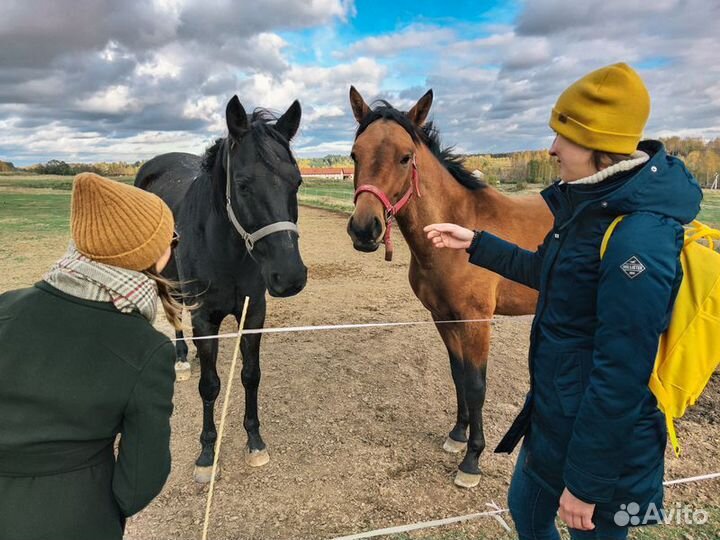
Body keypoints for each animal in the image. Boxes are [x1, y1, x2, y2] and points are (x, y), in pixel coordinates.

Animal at [135, 95, 306, 484]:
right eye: (242, 184)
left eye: (297, 182)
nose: (290, 276)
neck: (226, 250)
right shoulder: (205, 316)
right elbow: (210, 386)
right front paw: (206, 453)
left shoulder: (253, 312)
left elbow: (251, 375)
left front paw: (255, 441)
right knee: (175, 317)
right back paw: (183, 358)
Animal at [346, 86, 556, 488]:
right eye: (354, 154)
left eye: (405, 157)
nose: (364, 229)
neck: (456, 236)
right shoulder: (443, 317)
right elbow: (458, 375)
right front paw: (457, 436)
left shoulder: (477, 322)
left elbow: (476, 384)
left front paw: (472, 460)